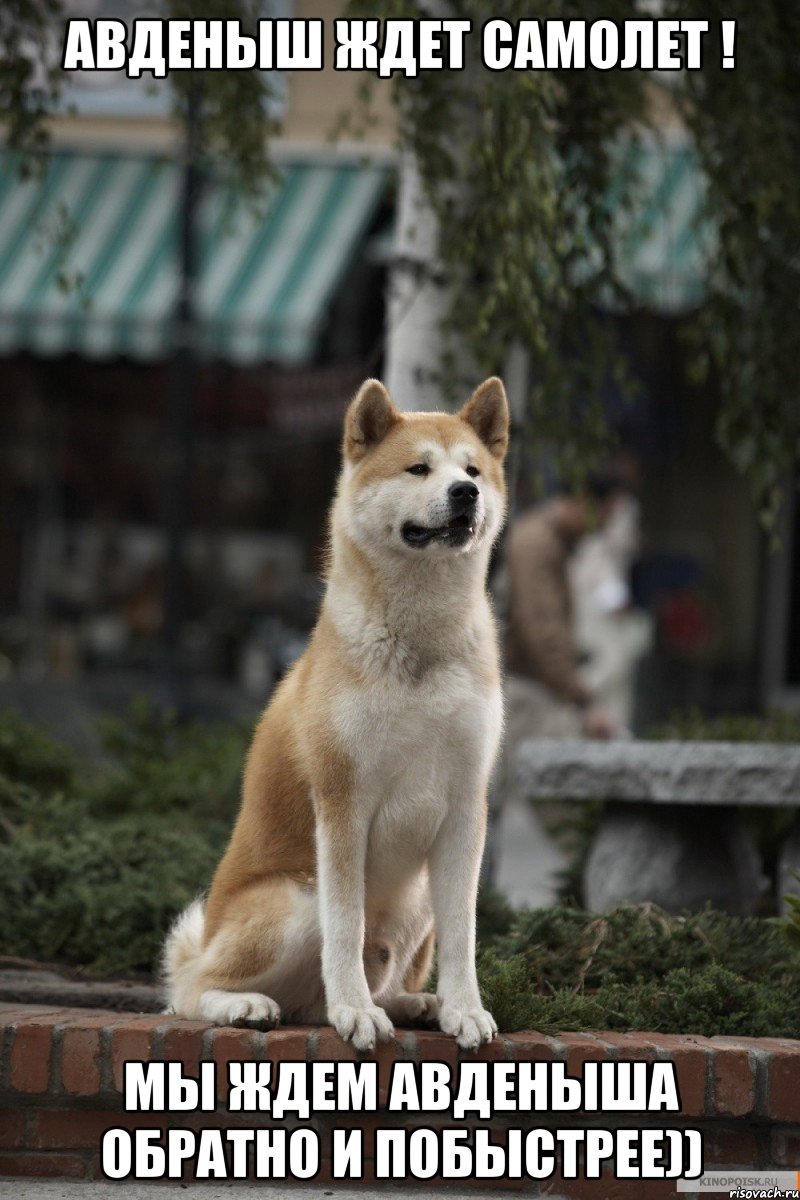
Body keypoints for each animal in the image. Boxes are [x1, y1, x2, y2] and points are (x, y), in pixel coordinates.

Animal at [165, 374, 510, 1051]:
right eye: (418, 468)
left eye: (473, 470)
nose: (465, 493)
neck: (420, 643)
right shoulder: (343, 801)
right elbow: (345, 928)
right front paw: (355, 1011)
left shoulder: (466, 806)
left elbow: (464, 935)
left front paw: (464, 1009)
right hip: (295, 900)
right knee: (189, 990)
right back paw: (250, 1005)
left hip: (417, 899)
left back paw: (415, 1003)